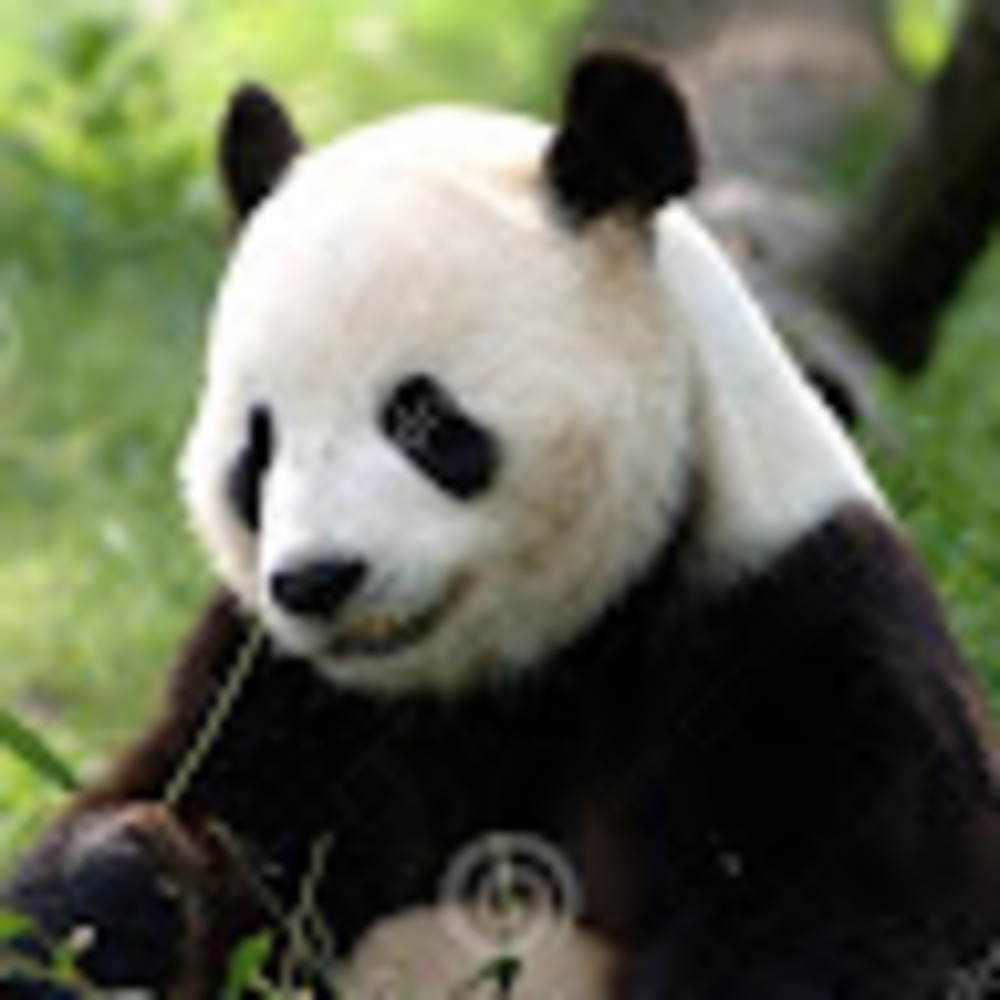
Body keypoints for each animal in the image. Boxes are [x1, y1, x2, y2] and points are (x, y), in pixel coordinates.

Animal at [3, 48, 1000, 999]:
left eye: (421, 420)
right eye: (258, 446)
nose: (318, 580)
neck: (513, 678)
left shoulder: (796, 636)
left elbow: (827, 920)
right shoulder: (281, 689)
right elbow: (173, 822)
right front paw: (111, 888)